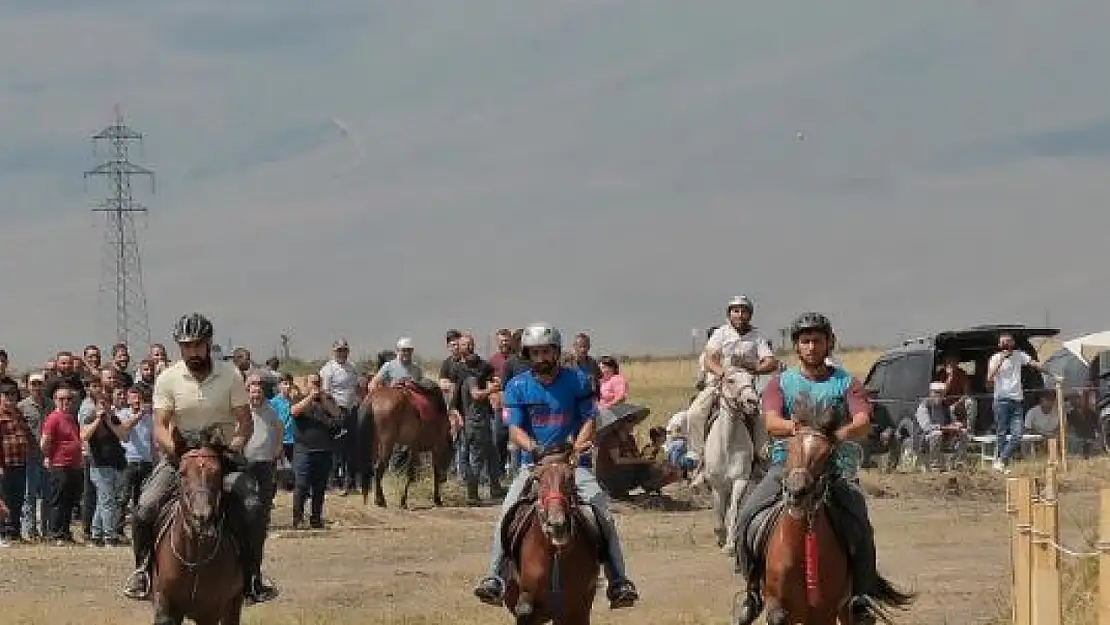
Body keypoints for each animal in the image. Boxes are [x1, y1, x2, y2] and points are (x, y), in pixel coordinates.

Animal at [152, 448, 243, 625]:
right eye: (182, 473)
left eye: (218, 472)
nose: (201, 517)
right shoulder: (165, 603)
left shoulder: (210, 612)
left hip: (233, 603)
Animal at [503, 448, 603, 625]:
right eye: (537, 478)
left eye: (570, 478)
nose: (557, 525)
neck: (555, 553)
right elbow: (525, 607)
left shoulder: (578, 609)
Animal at [701, 368, 763, 555]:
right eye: (730, 380)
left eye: (752, 379)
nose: (752, 401)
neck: (727, 445)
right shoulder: (717, 485)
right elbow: (719, 512)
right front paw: (720, 536)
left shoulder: (740, 480)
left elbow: (734, 510)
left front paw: (729, 545)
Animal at [763, 408, 910, 621]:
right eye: (791, 448)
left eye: (826, 455)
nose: (796, 493)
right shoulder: (777, 605)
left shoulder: (824, 613)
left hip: (846, 608)